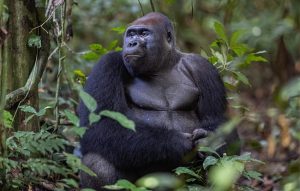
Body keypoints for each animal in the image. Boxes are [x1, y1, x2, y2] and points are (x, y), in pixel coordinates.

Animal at [78, 12, 226, 190]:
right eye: (131, 34)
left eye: (144, 33)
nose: (131, 43)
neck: (163, 66)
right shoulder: (107, 64)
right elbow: (99, 124)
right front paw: (177, 143)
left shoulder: (203, 68)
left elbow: (216, 122)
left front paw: (207, 140)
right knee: (96, 161)